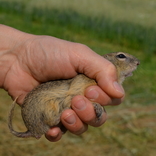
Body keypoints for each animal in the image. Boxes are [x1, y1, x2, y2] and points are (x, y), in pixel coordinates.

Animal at [7, 51, 140, 140]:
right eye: (121, 55)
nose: (139, 62)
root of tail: (31, 130)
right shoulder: (80, 87)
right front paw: (97, 106)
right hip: (47, 107)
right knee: (51, 120)